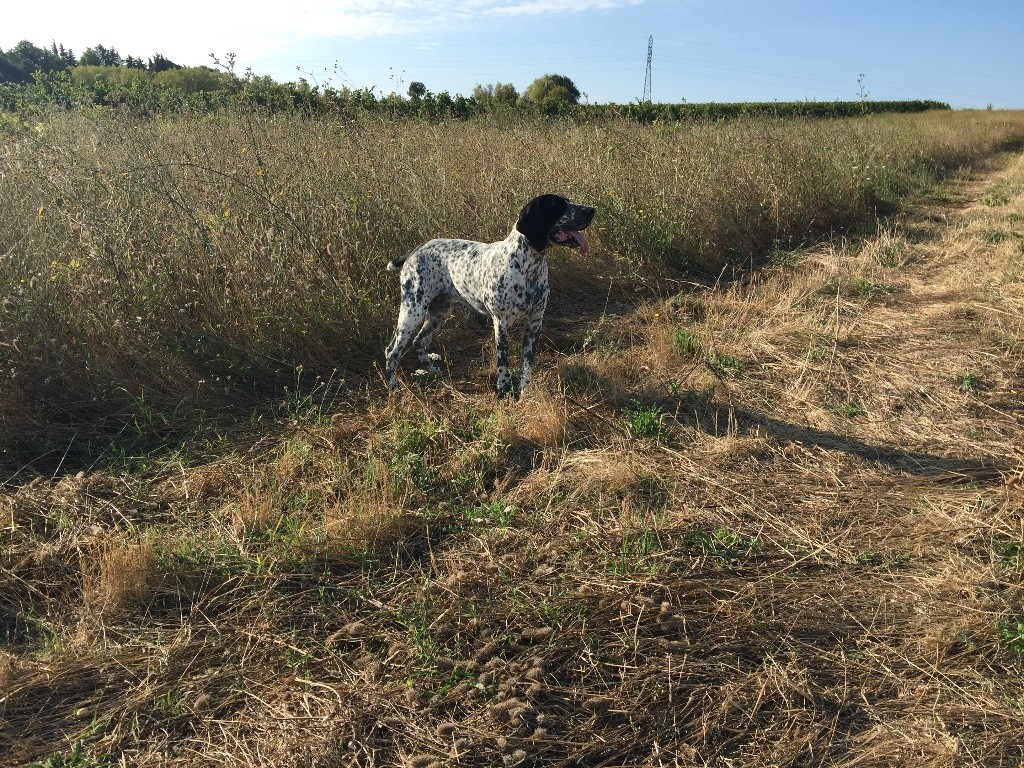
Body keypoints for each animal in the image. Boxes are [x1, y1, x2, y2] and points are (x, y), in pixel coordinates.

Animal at [385, 193, 598, 397]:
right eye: (558, 206)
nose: (591, 210)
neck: (527, 267)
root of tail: (415, 250)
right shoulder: (501, 323)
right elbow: (503, 360)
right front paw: (503, 389)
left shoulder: (534, 323)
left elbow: (527, 364)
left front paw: (525, 392)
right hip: (413, 310)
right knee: (392, 350)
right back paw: (393, 385)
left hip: (439, 313)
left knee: (418, 342)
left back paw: (431, 370)